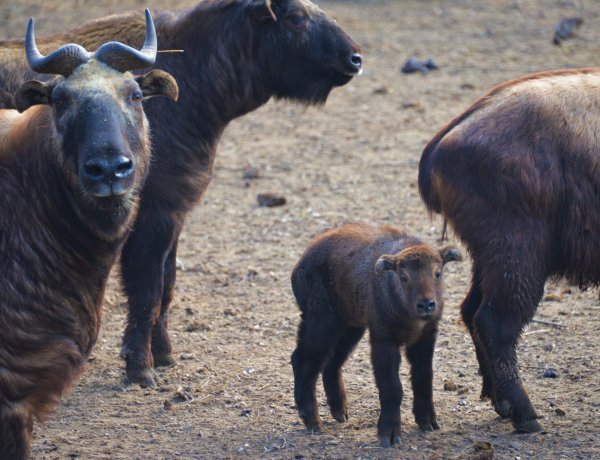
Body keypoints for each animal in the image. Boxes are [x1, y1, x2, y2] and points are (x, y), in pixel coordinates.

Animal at [290, 223, 460, 446]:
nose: (426, 305)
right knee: (304, 360)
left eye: (437, 273)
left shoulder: (425, 339)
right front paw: (389, 433)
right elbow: (391, 387)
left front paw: (427, 421)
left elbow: (424, 378)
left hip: (350, 326)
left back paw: (339, 410)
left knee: (331, 363)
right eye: (403, 277)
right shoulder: (383, 340)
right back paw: (312, 419)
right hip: (322, 322)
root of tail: (301, 263)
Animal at [420, 67, 600, 432]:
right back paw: (524, 414)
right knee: (495, 322)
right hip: (519, 255)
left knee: (471, 311)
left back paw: (500, 400)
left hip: (492, 258)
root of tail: (446, 140)